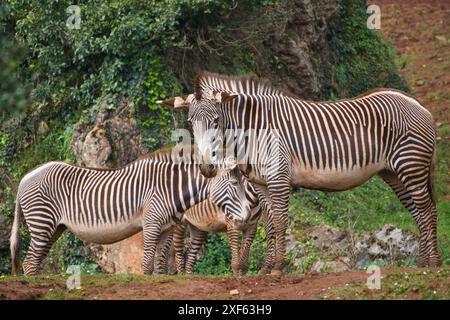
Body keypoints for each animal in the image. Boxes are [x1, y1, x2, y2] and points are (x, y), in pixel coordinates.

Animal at [8, 148, 251, 276]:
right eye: (234, 184)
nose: (248, 217)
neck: (170, 188)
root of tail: (25, 177)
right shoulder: (151, 224)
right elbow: (146, 265)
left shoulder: (166, 229)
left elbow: (159, 265)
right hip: (42, 222)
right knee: (30, 263)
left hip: (53, 227)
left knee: (34, 262)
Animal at [158, 72, 440, 272]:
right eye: (191, 122)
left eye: (216, 121)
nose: (207, 167)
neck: (253, 130)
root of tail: (415, 102)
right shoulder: (261, 184)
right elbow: (270, 225)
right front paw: (266, 269)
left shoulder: (278, 177)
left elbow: (281, 222)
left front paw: (278, 268)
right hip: (394, 173)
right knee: (417, 212)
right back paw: (422, 263)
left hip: (411, 165)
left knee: (427, 210)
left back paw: (434, 264)